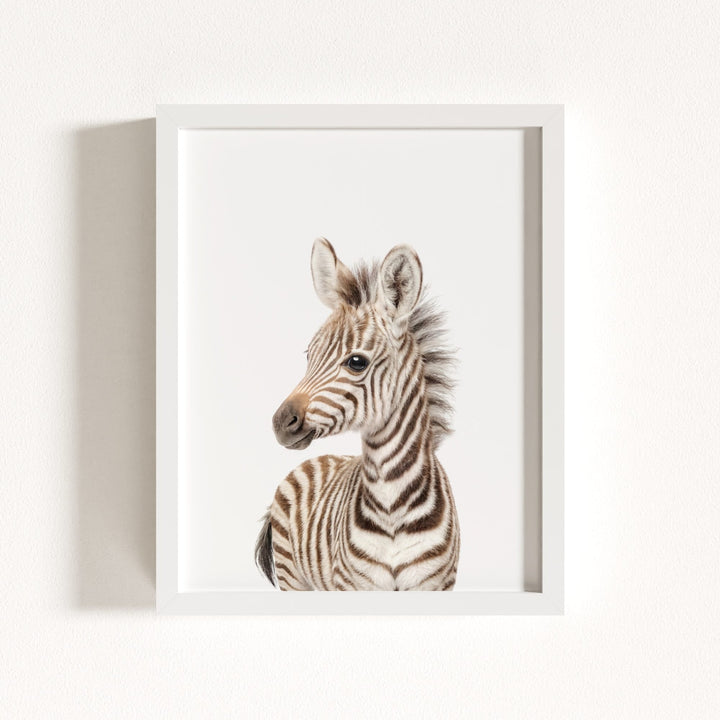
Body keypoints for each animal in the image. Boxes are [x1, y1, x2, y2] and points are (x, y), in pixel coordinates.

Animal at [255, 237, 460, 591]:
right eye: (309, 355)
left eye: (356, 362)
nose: (280, 423)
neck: (392, 505)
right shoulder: (353, 585)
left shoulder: (435, 585)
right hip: (292, 576)